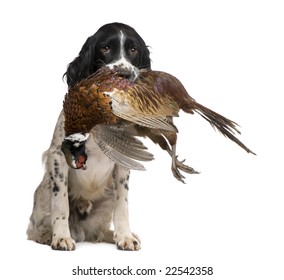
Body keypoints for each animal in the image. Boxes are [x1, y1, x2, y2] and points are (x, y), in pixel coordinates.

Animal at [26, 21, 151, 249]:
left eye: (133, 50)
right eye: (105, 48)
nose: (123, 74)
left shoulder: (123, 163)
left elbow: (123, 205)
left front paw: (125, 236)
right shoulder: (58, 155)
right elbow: (61, 205)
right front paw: (61, 237)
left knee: (98, 232)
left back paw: (115, 235)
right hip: (44, 188)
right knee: (33, 228)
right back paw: (48, 236)